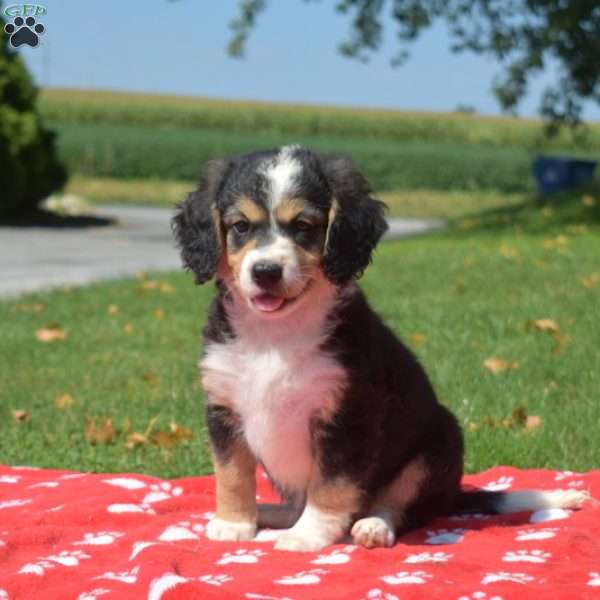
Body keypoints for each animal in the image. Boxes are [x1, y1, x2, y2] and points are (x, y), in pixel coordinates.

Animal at [171, 146, 588, 552]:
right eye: (240, 226)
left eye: (304, 227)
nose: (266, 272)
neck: (276, 335)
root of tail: (451, 495)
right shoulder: (224, 408)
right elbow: (232, 474)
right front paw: (233, 523)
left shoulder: (346, 416)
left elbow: (331, 485)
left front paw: (309, 536)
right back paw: (268, 515)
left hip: (436, 448)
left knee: (398, 508)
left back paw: (371, 527)